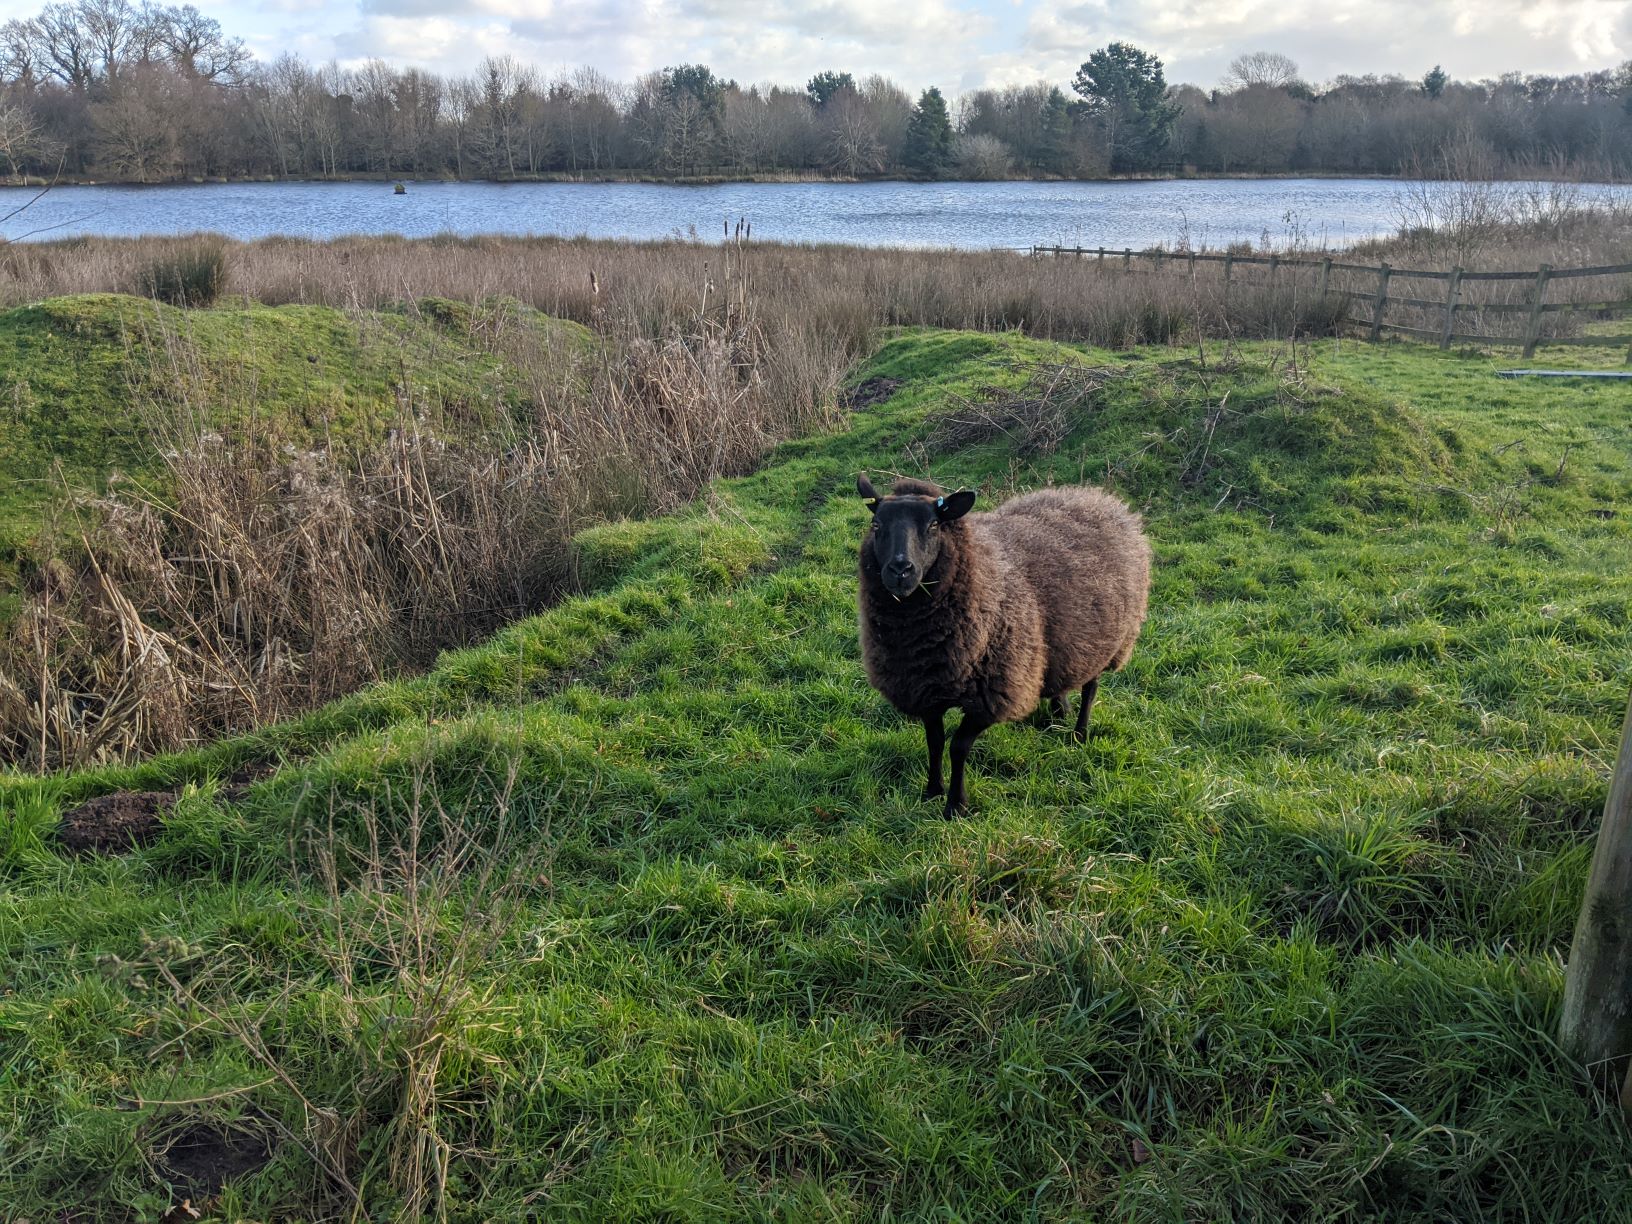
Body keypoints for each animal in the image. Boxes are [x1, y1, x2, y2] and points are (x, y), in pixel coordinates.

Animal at [855, 473, 1148, 819]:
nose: (900, 570)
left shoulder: (992, 694)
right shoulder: (925, 688)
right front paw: (932, 791)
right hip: (1063, 644)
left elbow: (958, 747)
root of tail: (1099, 498)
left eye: (934, 525)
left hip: (1107, 641)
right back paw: (1060, 709)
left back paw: (1079, 732)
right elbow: (935, 741)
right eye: (876, 525)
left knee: (1091, 687)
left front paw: (956, 805)